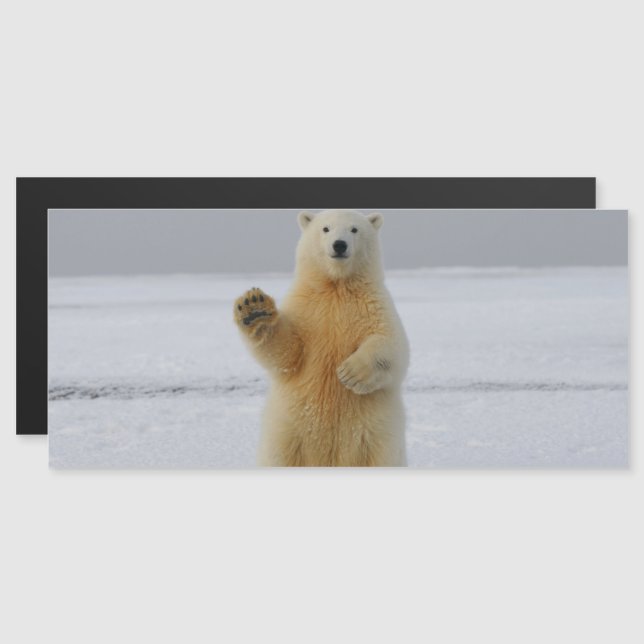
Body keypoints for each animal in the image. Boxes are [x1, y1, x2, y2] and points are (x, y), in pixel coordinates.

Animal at [233, 209, 409, 467]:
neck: (336, 286)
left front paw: (350, 373)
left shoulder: (374, 306)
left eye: (354, 229)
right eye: (325, 228)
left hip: (378, 440)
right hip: (286, 435)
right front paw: (254, 308)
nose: (339, 244)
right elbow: (287, 352)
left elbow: (392, 345)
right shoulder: (306, 310)